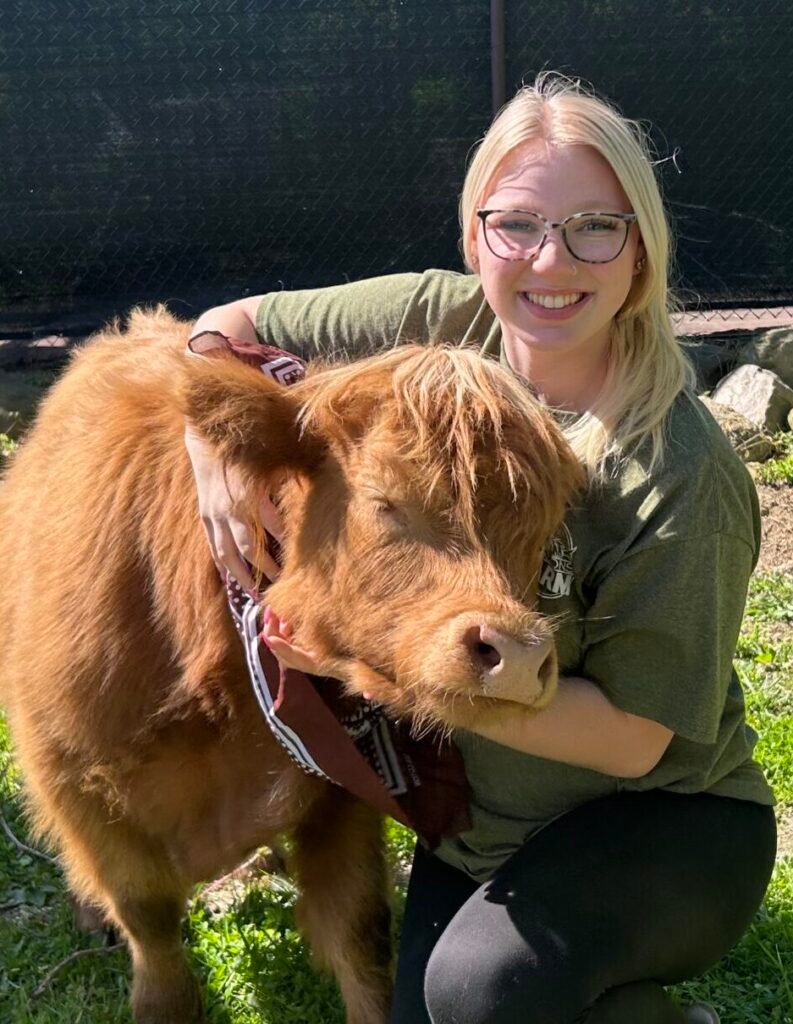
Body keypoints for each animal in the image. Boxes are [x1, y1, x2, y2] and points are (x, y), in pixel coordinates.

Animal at [0, 306, 582, 1024]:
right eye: (383, 501)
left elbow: (356, 932)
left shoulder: (346, 791)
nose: (519, 654)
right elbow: (152, 930)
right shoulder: (79, 784)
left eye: (542, 532)